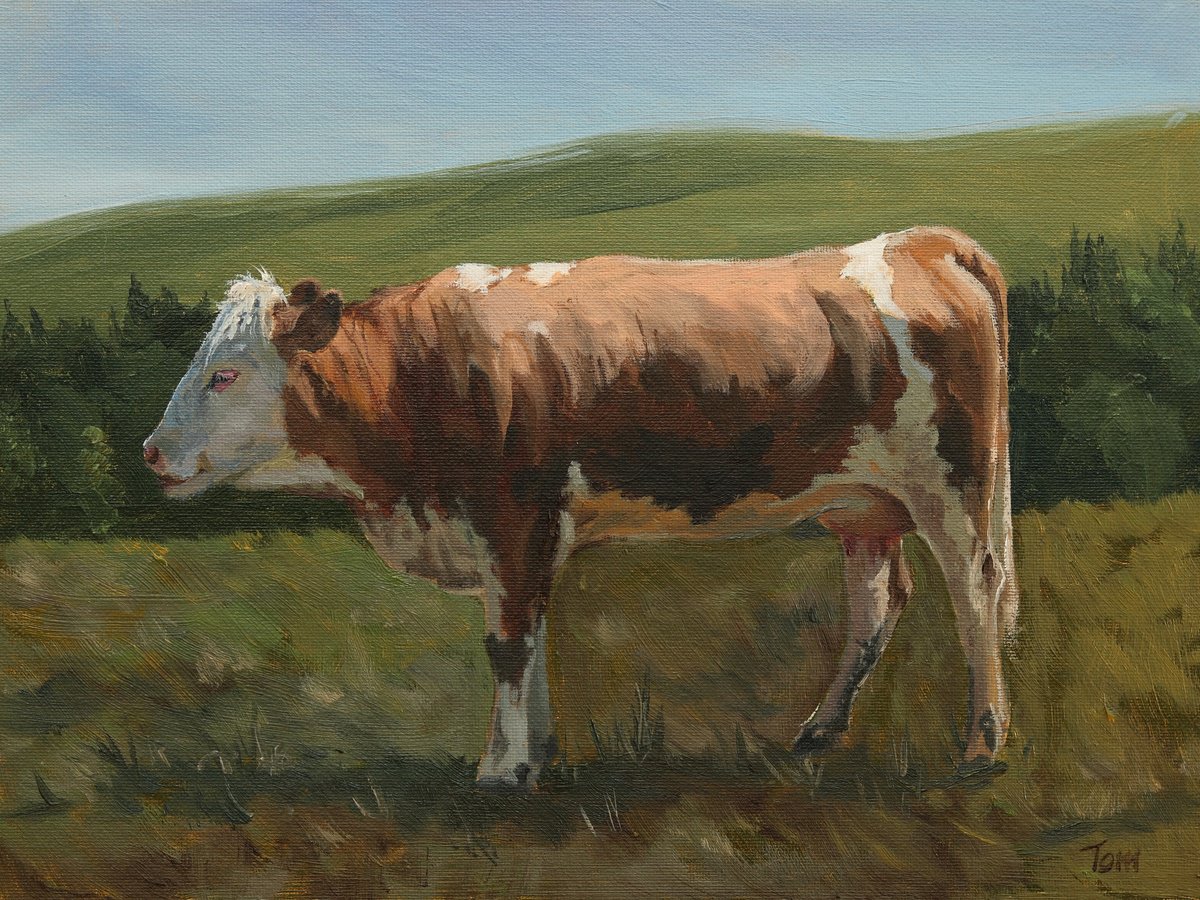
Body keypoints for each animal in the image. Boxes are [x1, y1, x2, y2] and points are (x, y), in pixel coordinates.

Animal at [144, 226, 1018, 788]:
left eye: (224, 374)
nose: (152, 451)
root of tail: (921, 242)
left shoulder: (510, 514)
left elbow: (506, 645)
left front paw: (500, 771)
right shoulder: (516, 537)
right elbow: (527, 639)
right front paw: (537, 756)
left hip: (952, 481)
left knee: (976, 593)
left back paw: (983, 747)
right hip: (864, 504)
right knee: (877, 603)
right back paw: (817, 733)